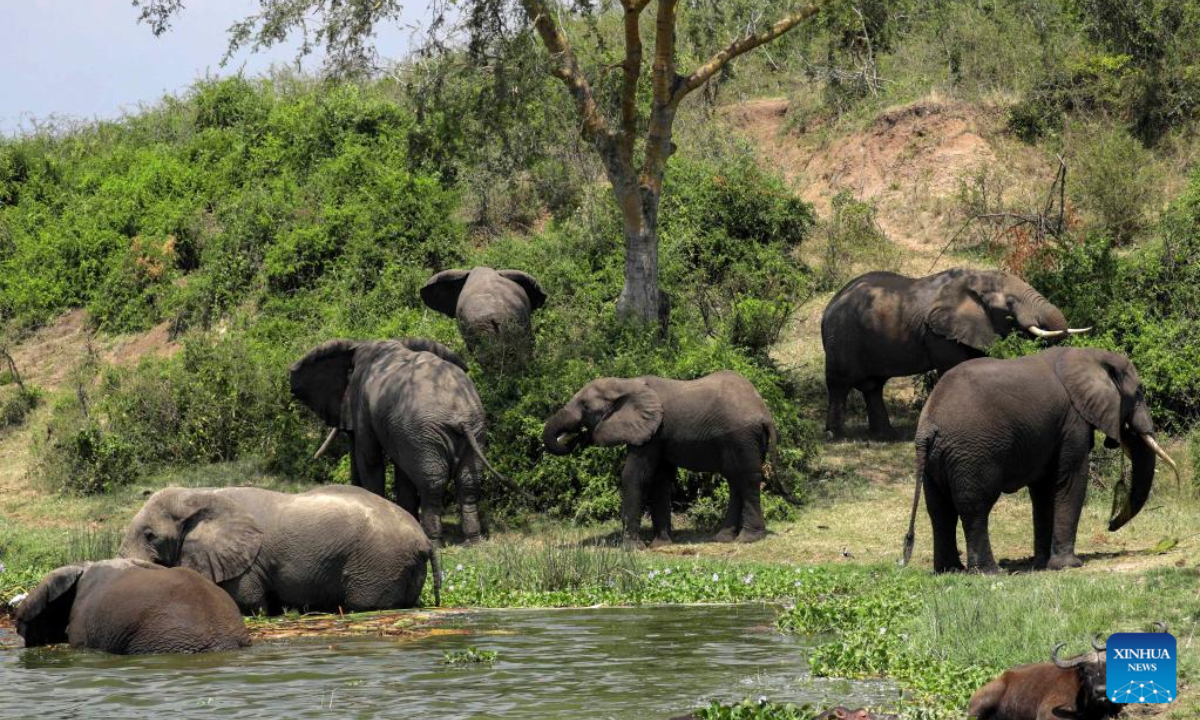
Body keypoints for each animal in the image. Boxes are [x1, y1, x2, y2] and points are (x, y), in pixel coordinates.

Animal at [119, 484, 438, 614]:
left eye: (150, 536)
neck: (196, 495)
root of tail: (423, 540)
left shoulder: (246, 562)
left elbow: (246, 601)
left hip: (378, 563)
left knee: (364, 606)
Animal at [290, 337, 505, 544]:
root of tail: (460, 417)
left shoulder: (365, 407)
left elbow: (370, 459)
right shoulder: (403, 433)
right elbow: (400, 469)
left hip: (428, 431)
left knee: (432, 484)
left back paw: (433, 540)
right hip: (470, 429)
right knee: (468, 483)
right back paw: (473, 541)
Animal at [543, 371, 777, 546]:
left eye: (584, 406)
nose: (574, 437)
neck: (627, 383)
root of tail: (765, 411)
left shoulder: (651, 431)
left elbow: (635, 476)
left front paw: (632, 548)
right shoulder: (657, 433)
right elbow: (659, 479)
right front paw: (661, 544)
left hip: (743, 436)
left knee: (747, 479)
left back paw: (748, 538)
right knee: (734, 479)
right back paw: (723, 538)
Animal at [821, 268, 1089, 439]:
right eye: (1010, 303)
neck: (974, 280)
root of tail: (830, 305)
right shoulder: (939, 333)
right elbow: (953, 368)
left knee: (873, 387)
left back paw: (886, 436)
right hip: (841, 337)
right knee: (839, 384)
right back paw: (837, 435)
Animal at [902, 347, 1180, 573]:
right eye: (1139, 393)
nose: (1110, 525)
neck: (1089, 355)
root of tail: (929, 425)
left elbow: (1044, 490)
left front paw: (1042, 564)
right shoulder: (1072, 422)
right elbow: (1070, 481)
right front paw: (1069, 565)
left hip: (935, 460)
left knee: (940, 510)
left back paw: (950, 570)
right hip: (972, 453)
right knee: (975, 507)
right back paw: (989, 572)